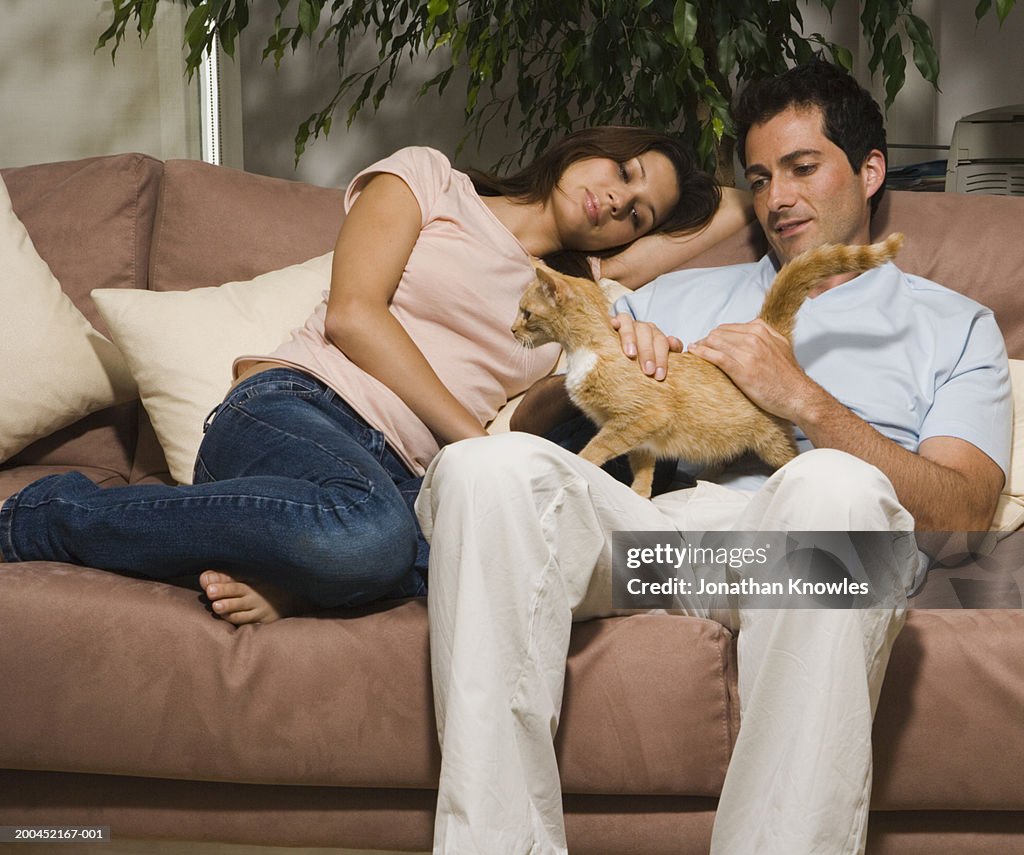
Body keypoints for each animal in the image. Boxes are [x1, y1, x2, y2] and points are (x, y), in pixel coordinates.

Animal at [512, 237, 905, 497]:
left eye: (526, 313)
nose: (512, 329)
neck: (589, 350)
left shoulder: (641, 417)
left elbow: (597, 447)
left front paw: (581, 462)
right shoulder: (642, 438)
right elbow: (643, 469)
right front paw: (640, 497)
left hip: (771, 440)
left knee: (789, 457)